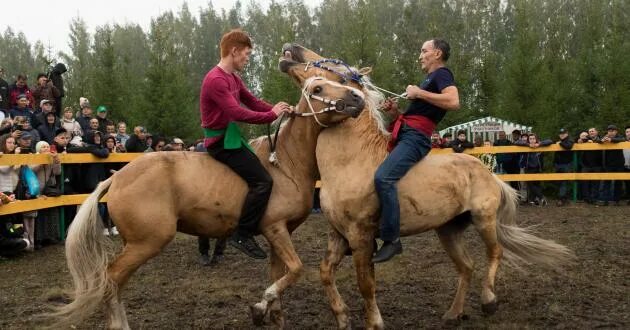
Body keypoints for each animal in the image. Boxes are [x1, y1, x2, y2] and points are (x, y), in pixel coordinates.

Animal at [51, 76, 368, 328]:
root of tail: (117, 178)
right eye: (318, 88)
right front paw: (261, 305)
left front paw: (268, 313)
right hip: (147, 242)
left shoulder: (281, 234)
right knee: (111, 280)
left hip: (136, 244)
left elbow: (282, 275)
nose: (357, 97)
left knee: (115, 283)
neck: (284, 164)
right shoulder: (275, 229)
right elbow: (297, 270)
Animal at [278, 43, 576, 328]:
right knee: (467, 267)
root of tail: (488, 173)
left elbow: (366, 285)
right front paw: (341, 316)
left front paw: (374, 322)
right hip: (448, 229)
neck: (353, 159)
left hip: (484, 219)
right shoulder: (338, 233)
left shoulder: (361, 236)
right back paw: (453, 313)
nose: (290, 50)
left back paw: (489, 300)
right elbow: (325, 272)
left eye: (334, 68)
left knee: (495, 252)